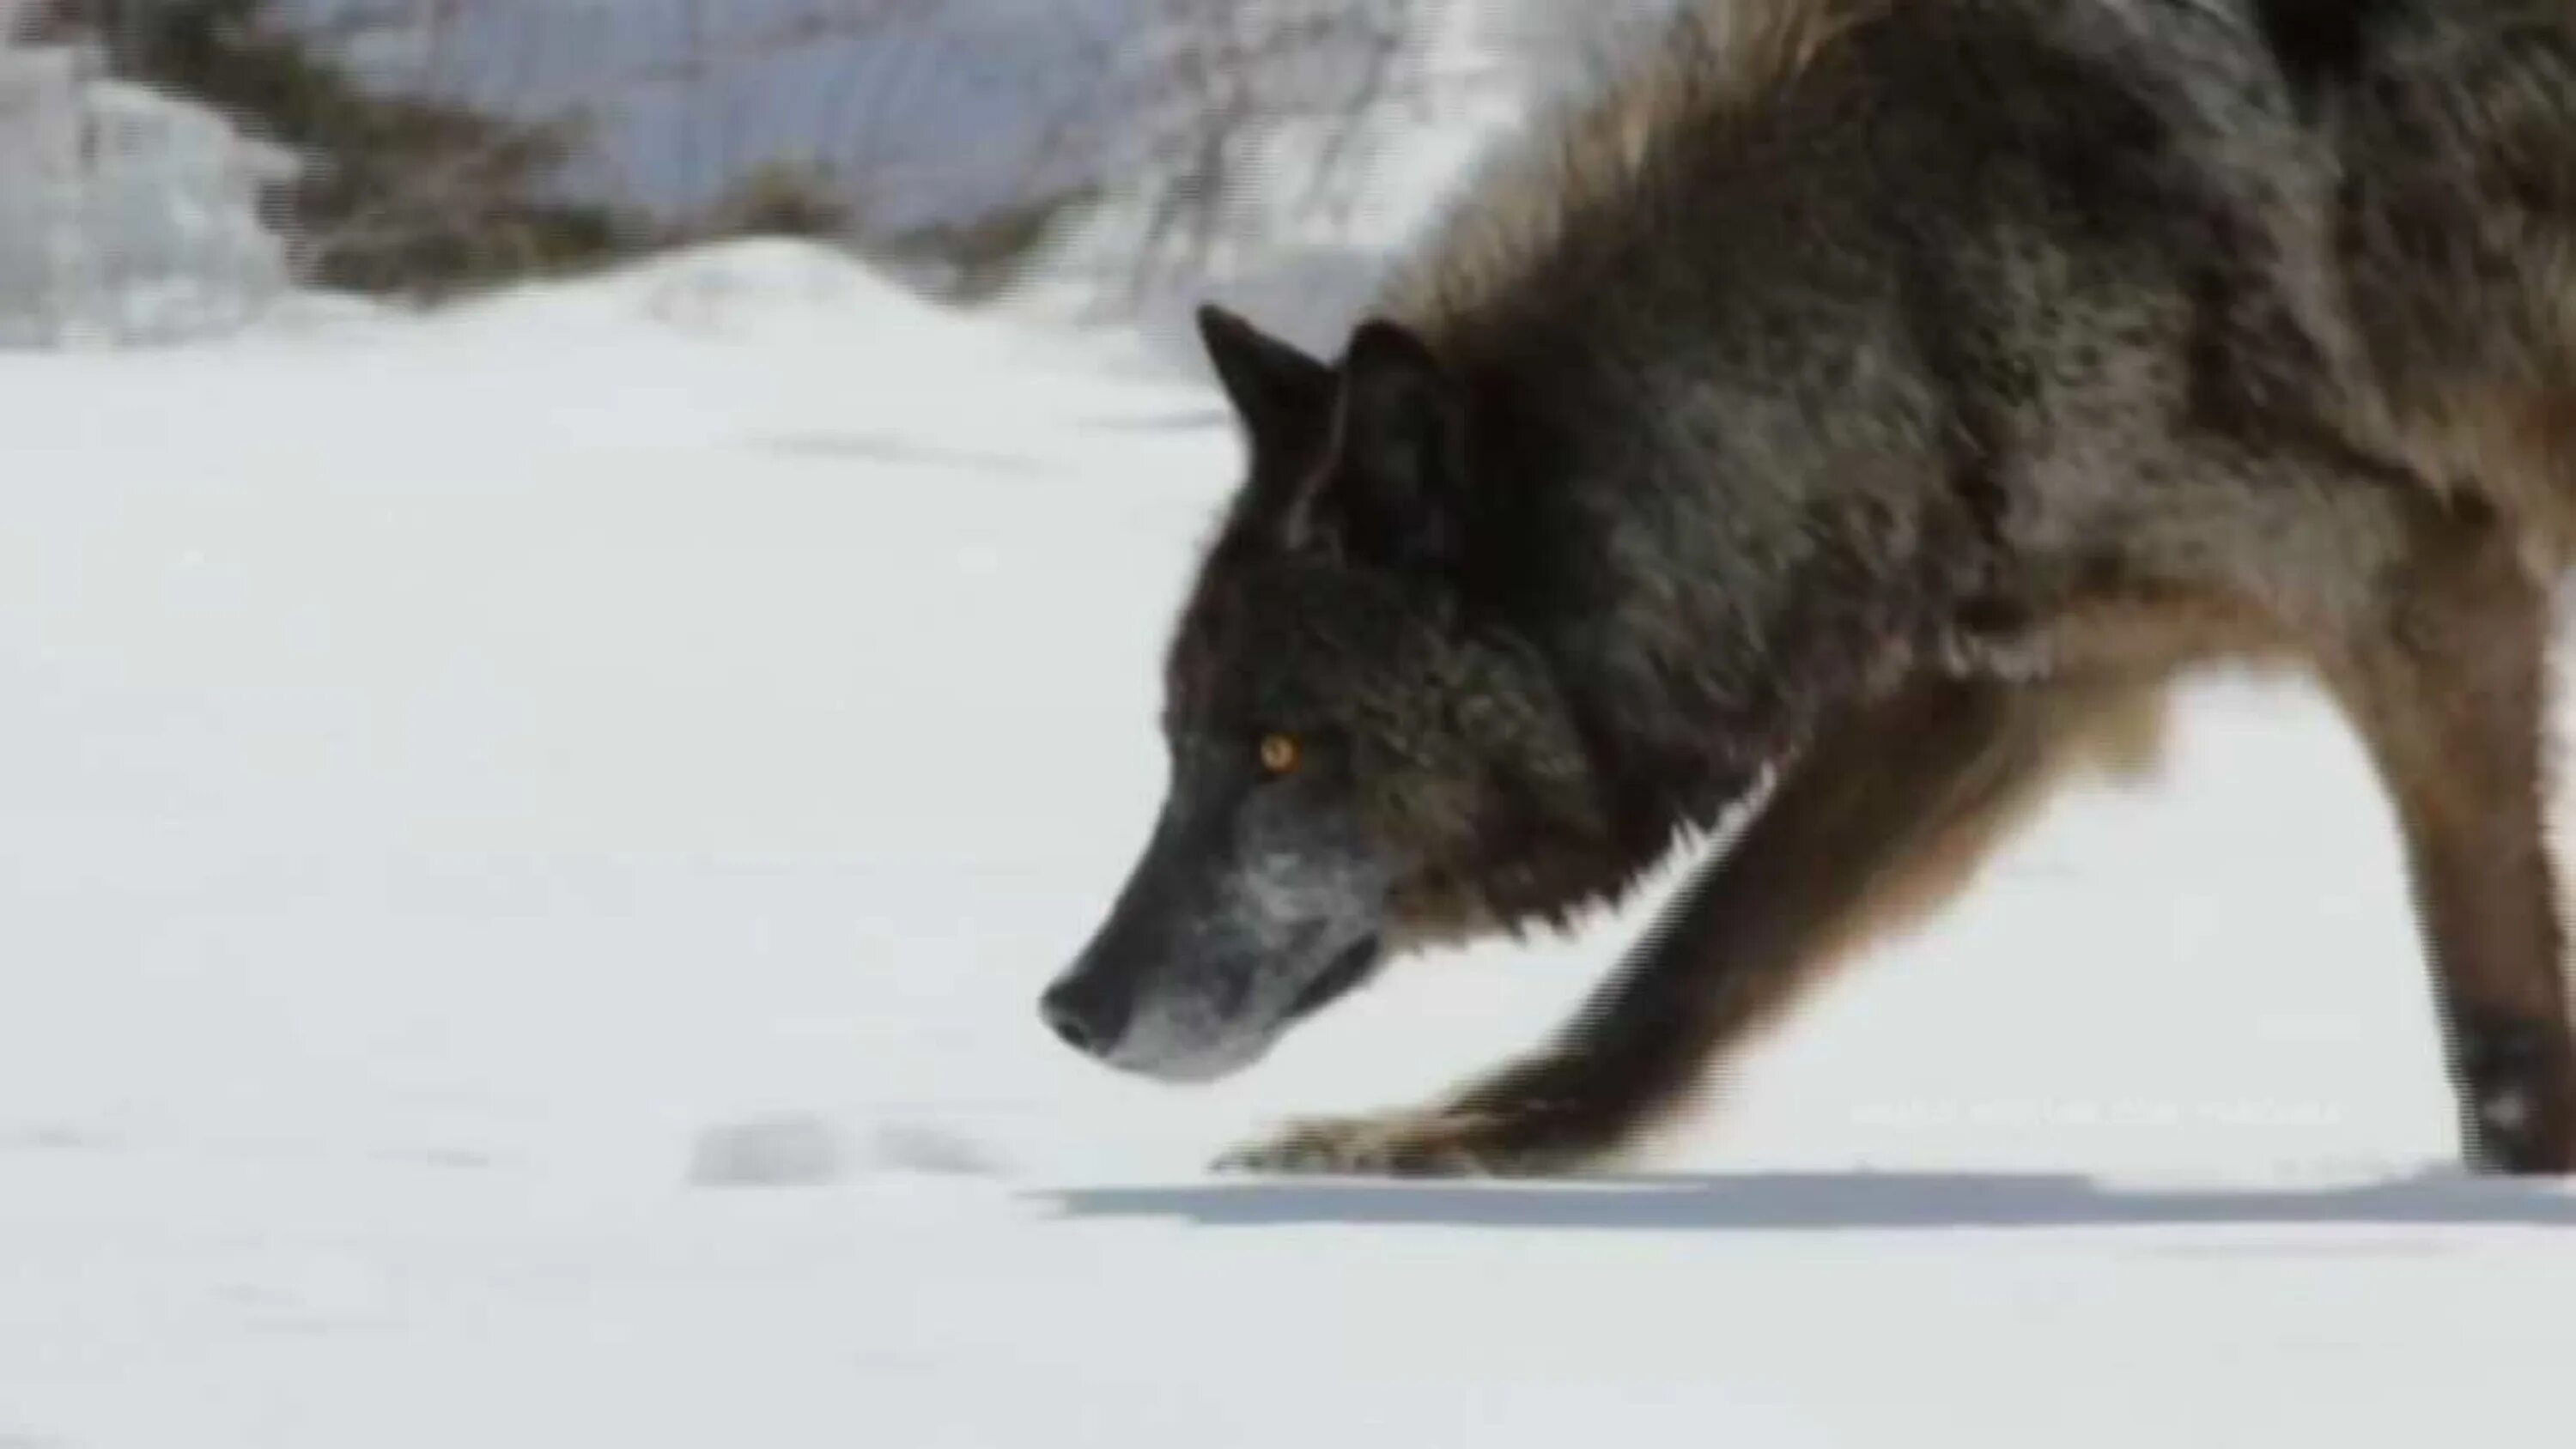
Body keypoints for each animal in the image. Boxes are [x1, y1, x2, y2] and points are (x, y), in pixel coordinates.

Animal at [1036, 0, 2576, 1179]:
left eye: (1281, 753)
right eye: (1177, 745)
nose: (1070, 1007)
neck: (1904, 293)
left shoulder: (2419, 587)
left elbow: (2495, 1031)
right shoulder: (1996, 685)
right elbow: (1680, 974)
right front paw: (1437, 1142)